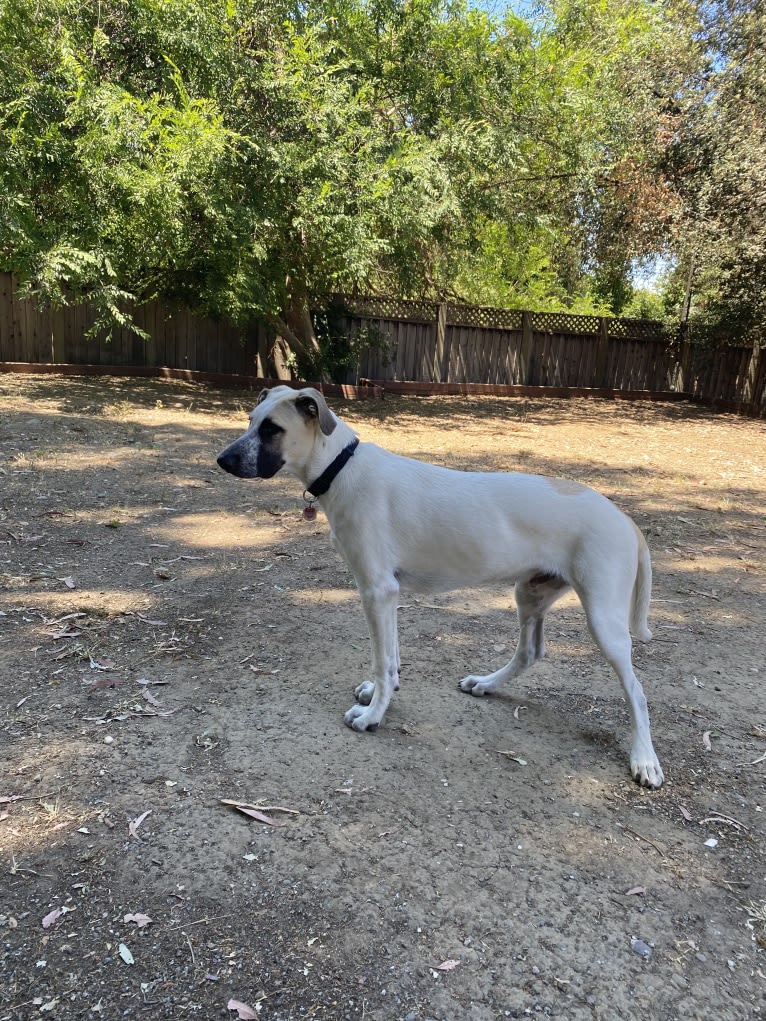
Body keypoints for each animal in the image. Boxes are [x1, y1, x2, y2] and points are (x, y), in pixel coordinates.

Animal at [217, 383, 665, 788]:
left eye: (272, 429)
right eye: (250, 421)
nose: (222, 460)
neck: (341, 466)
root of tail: (624, 519)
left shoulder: (376, 590)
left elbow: (382, 661)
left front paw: (373, 715)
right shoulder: (387, 595)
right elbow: (390, 658)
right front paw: (381, 693)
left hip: (603, 619)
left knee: (638, 692)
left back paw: (644, 758)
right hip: (531, 592)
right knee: (529, 653)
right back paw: (485, 683)